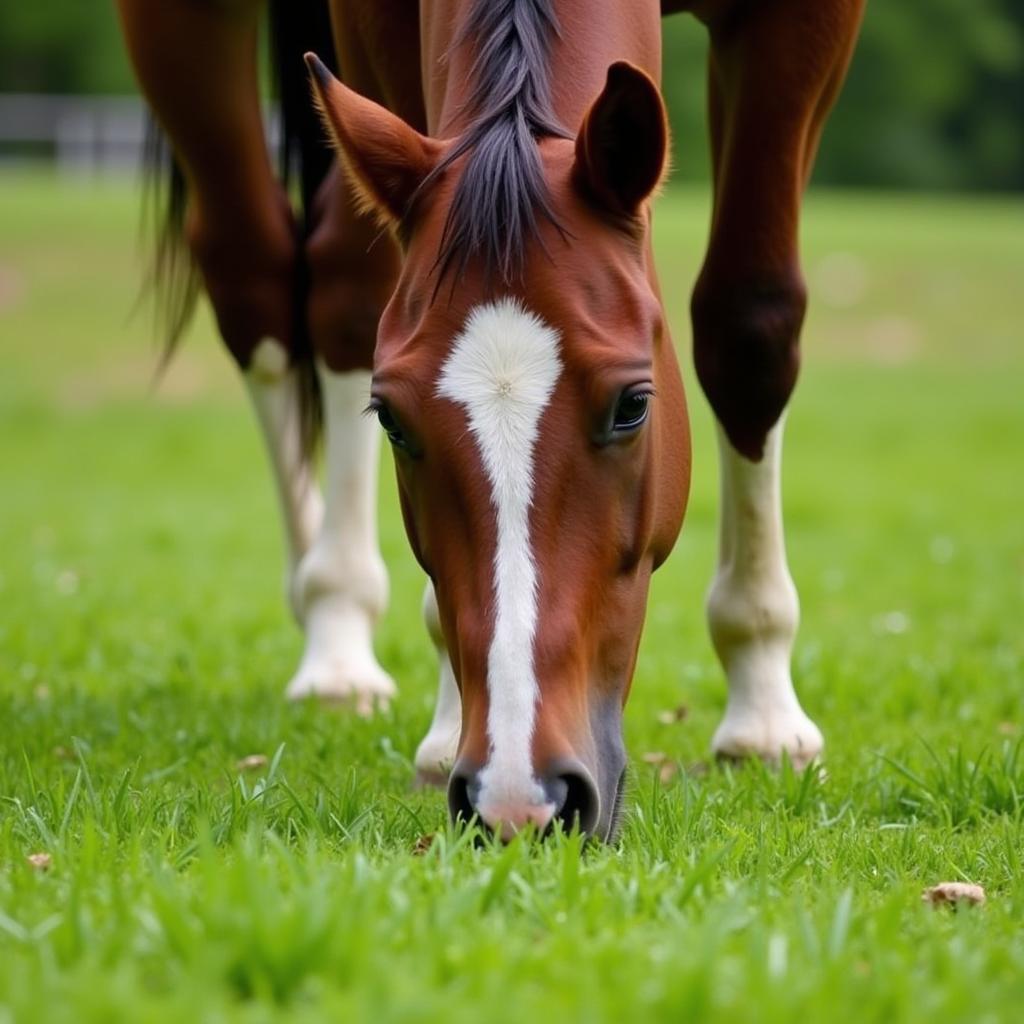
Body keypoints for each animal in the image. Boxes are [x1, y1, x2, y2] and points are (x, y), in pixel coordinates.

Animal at [114, 0, 864, 839]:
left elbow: (749, 324)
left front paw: (764, 714)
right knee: (274, 278)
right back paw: (334, 630)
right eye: (391, 420)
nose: (517, 798)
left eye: (633, 406)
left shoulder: (804, 27)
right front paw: (446, 731)